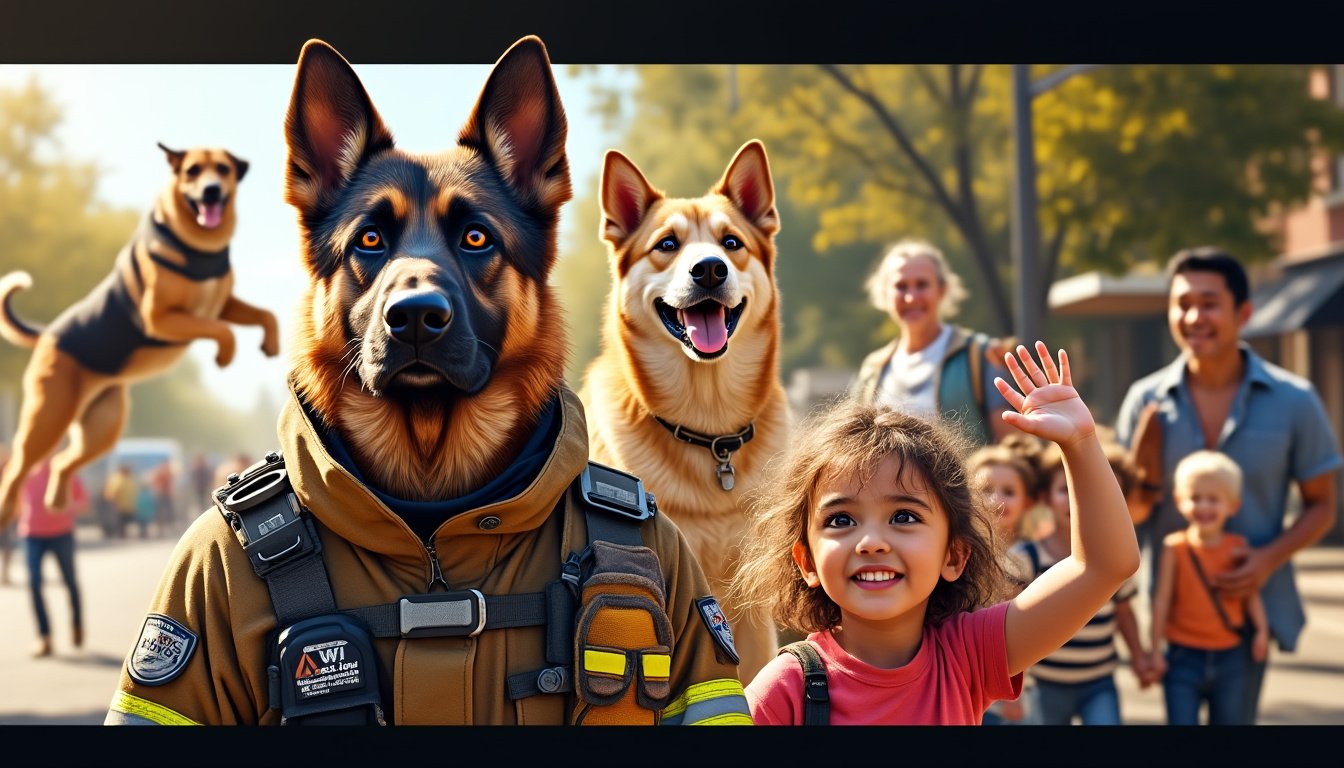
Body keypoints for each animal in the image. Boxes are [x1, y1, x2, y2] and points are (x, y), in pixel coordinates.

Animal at [0, 143, 276, 529]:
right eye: (192, 171)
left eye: (223, 169)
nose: (211, 191)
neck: (200, 244)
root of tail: (48, 334)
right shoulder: (159, 317)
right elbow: (221, 330)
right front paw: (224, 355)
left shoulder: (222, 303)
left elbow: (264, 315)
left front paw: (270, 343)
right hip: (48, 416)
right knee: (19, 465)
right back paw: (8, 509)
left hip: (102, 427)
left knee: (62, 462)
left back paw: (57, 501)